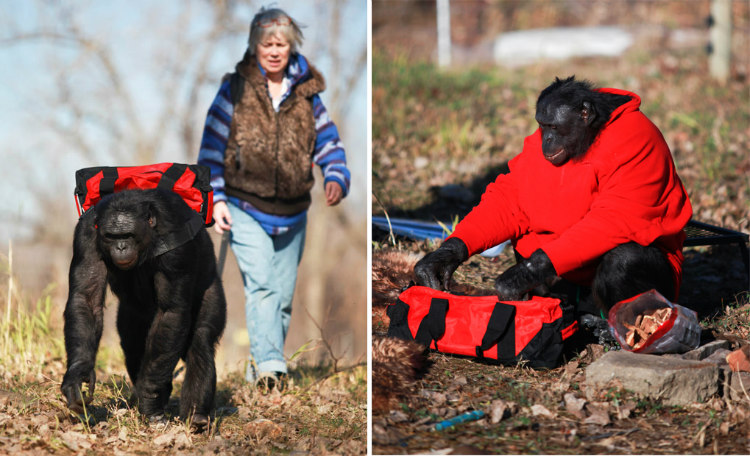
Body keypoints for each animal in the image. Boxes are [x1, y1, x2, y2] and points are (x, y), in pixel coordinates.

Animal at [61, 188, 226, 428]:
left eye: (127, 235)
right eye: (111, 236)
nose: (121, 247)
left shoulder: (177, 249)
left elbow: (171, 312)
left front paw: (148, 398)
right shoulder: (86, 239)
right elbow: (86, 299)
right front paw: (78, 373)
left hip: (211, 287)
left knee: (200, 340)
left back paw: (195, 416)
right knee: (133, 344)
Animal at [418, 75, 692, 318]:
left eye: (552, 126)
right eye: (541, 125)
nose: (547, 138)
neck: (593, 135)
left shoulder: (635, 148)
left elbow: (615, 214)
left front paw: (518, 277)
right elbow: (510, 194)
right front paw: (443, 258)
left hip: (666, 290)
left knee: (625, 259)